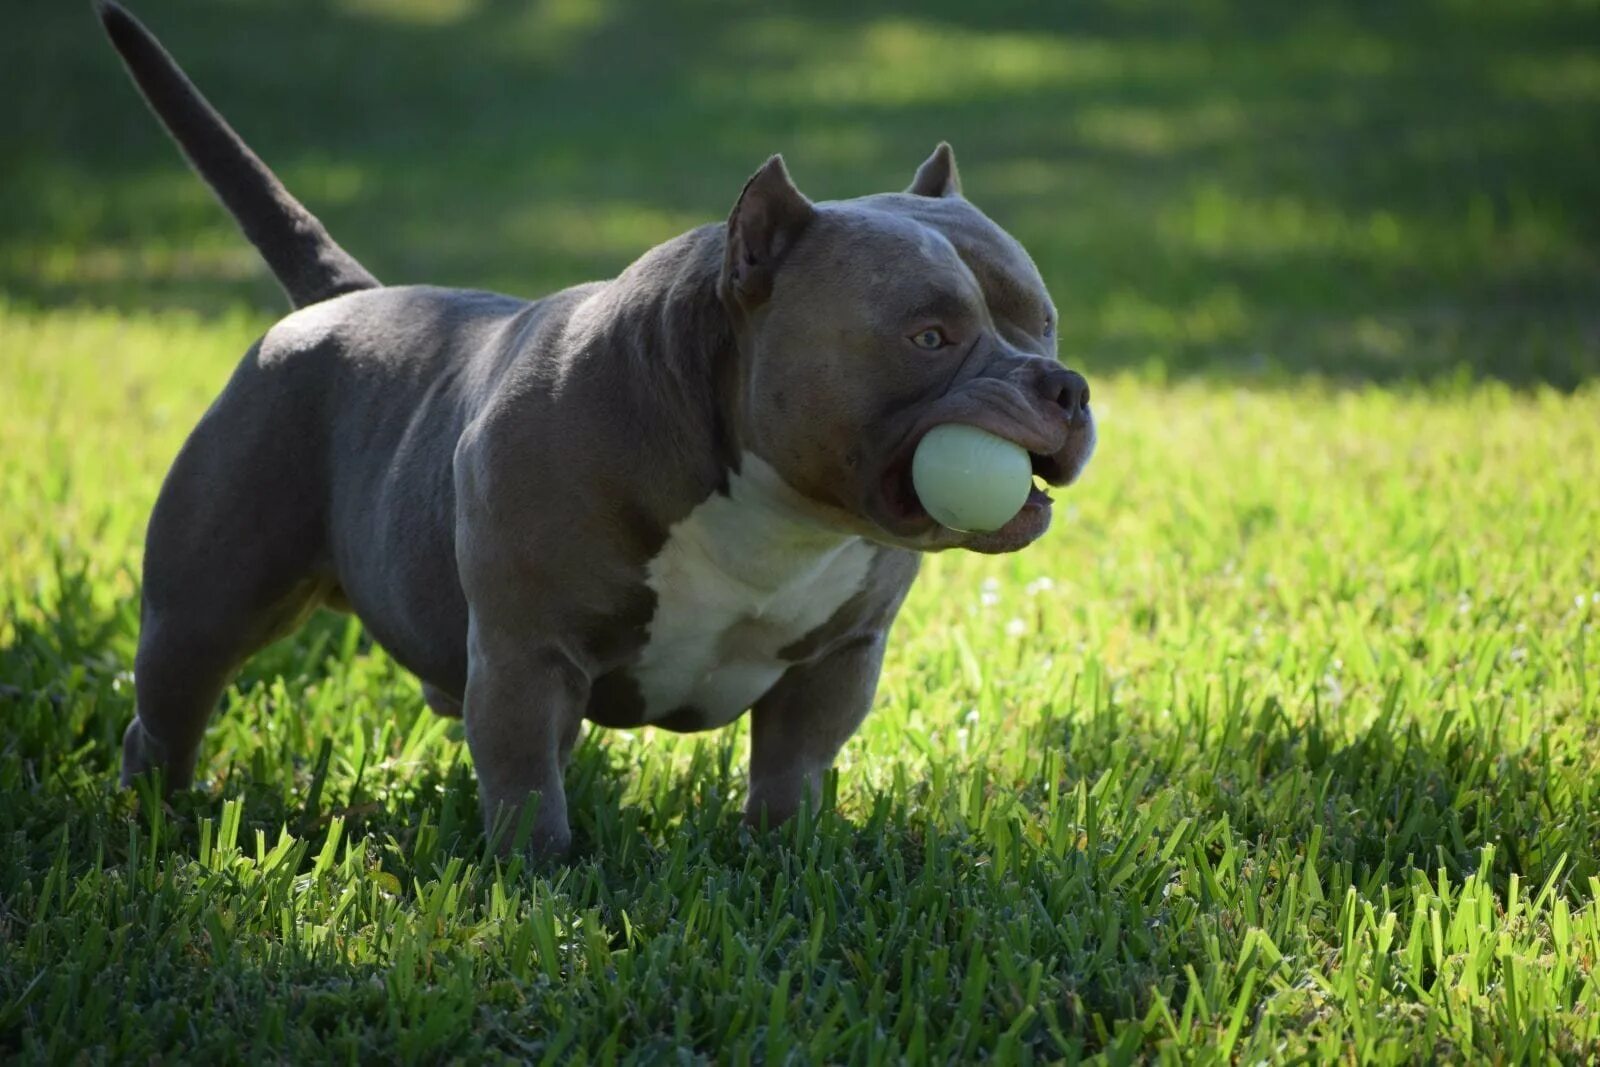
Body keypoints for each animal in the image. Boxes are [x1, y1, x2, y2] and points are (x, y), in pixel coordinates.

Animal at [100, 0, 1094, 851]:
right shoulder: (526, 653)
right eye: (928, 337)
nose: (1065, 386)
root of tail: (341, 303)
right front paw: (537, 885)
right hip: (204, 607)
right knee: (168, 708)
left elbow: (791, 770)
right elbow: (525, 785)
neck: (775, 513)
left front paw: (787, 856)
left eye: (1044, 321)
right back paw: (154, 814)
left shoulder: (836, 662)